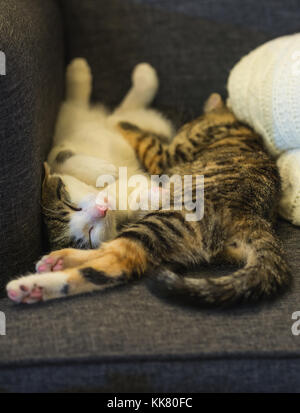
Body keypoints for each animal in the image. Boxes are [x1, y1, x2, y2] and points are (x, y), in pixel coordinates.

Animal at [6, 94, 290, 306]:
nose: (181, 128)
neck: (237, 128)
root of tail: (252, 219)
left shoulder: (166, 156)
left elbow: (140, 137)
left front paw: (120, 121)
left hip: (166, 220)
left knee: (119, 260)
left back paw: (33, 284)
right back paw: (51, 267)